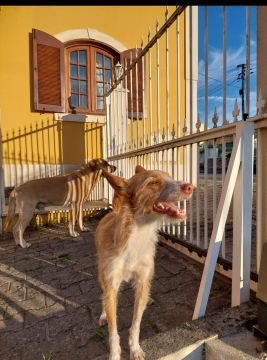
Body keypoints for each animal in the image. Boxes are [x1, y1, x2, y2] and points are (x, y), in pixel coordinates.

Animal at [95, 165, 194, 360]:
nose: (190, 187)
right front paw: (115, 355)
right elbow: (113, 332)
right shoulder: (112, 284)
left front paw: (134, 349)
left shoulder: (142, 282)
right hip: (102, 275)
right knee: (102, 296)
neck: (139, 233)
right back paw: (103, 315)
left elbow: (136, 324)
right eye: (153, 182)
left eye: (170, 177)